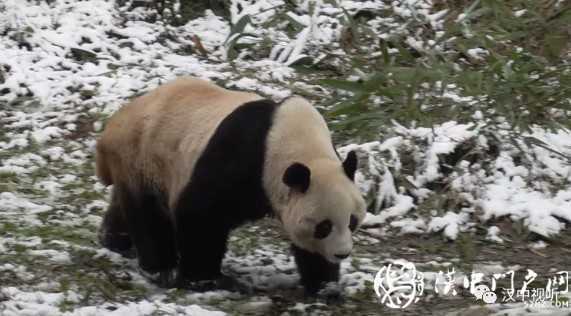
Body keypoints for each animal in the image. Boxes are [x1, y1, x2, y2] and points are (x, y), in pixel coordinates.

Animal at [95, 78, 366, 296]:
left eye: (352, 221)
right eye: (324, 226)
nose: (342, 253)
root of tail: (113, 126)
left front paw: (326, 285)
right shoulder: (241, 158)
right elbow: (201, 214)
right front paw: (205, 281)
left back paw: (115, 240)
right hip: (144, 154)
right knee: (149, 214)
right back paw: (161, 268)